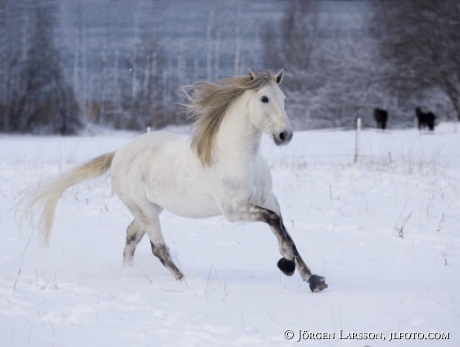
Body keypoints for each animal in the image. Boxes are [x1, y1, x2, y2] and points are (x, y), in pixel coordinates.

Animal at [24, 69, 328, 292]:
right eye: (264, 99)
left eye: (284, 98)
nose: (285, 135)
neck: (240, 156)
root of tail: (119, 153)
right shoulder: (234, 210)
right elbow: (275, 223)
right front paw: (292, 269)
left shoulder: (267, 199)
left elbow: (283, 230)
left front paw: (308, 275)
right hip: (146, 211)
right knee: (158, 248)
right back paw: (186, 281)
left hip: (149, 210)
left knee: (131, 237)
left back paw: (129, 276)